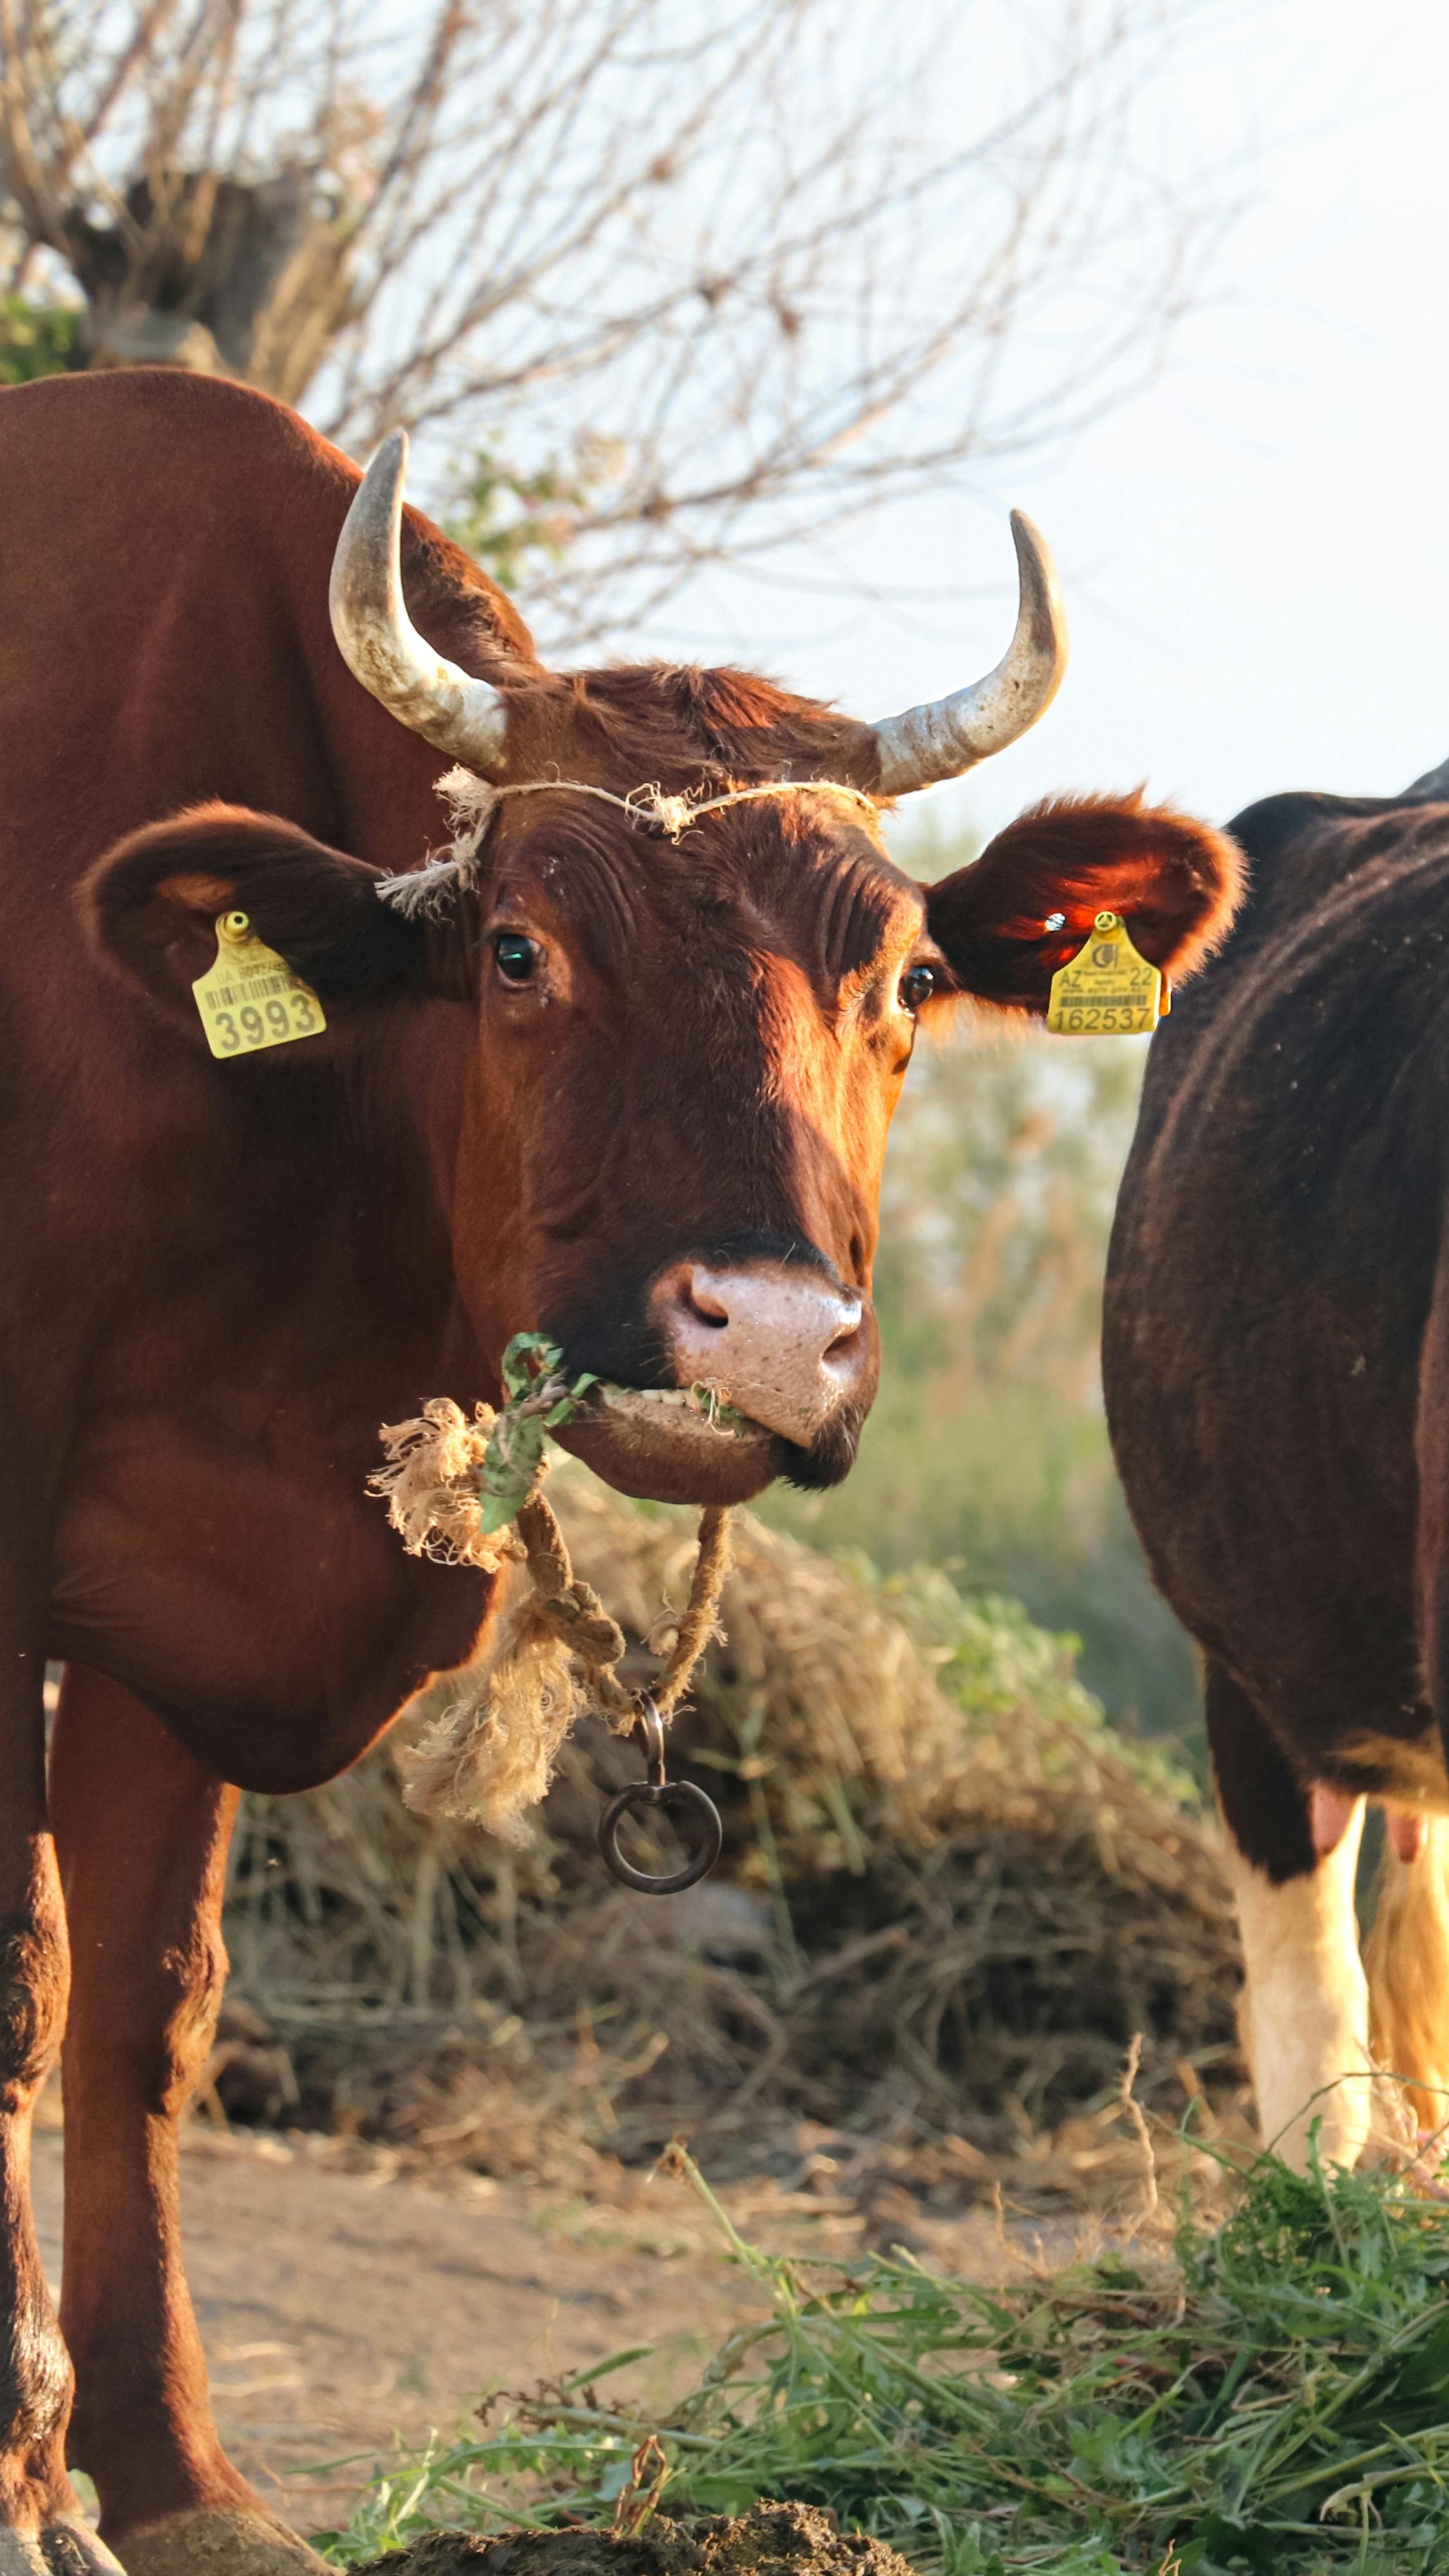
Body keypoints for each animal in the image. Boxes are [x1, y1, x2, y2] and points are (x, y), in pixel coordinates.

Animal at [0, 364, 1239, 2571]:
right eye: (516, 950)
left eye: (909, 980)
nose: (761, 1334)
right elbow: (24, 1980)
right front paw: (18, 2471)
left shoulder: (180, 1584)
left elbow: (148, 2002)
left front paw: (174, 2478)